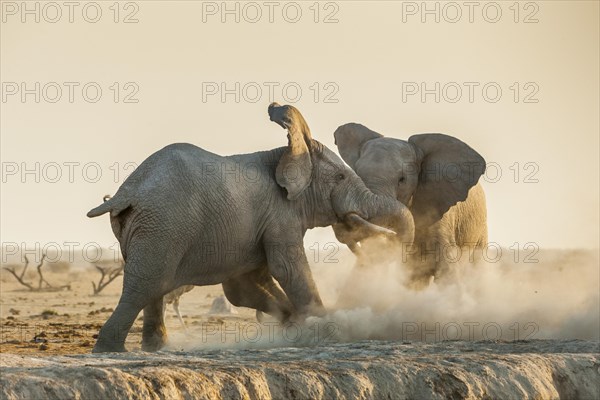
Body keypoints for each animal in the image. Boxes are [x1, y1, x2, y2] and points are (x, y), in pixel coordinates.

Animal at [86, 103, 412, 354]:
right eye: (342, 177)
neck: (287, 151)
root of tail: (127, 192)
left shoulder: (256, 224)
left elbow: (245, 285)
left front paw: (291, 322)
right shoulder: (279, 214)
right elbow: (287, 268)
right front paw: (321, 325)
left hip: (147, 226)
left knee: (153, 286)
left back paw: (157, 348)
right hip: (163, 225)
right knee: (146, 283)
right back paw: (111, 350)